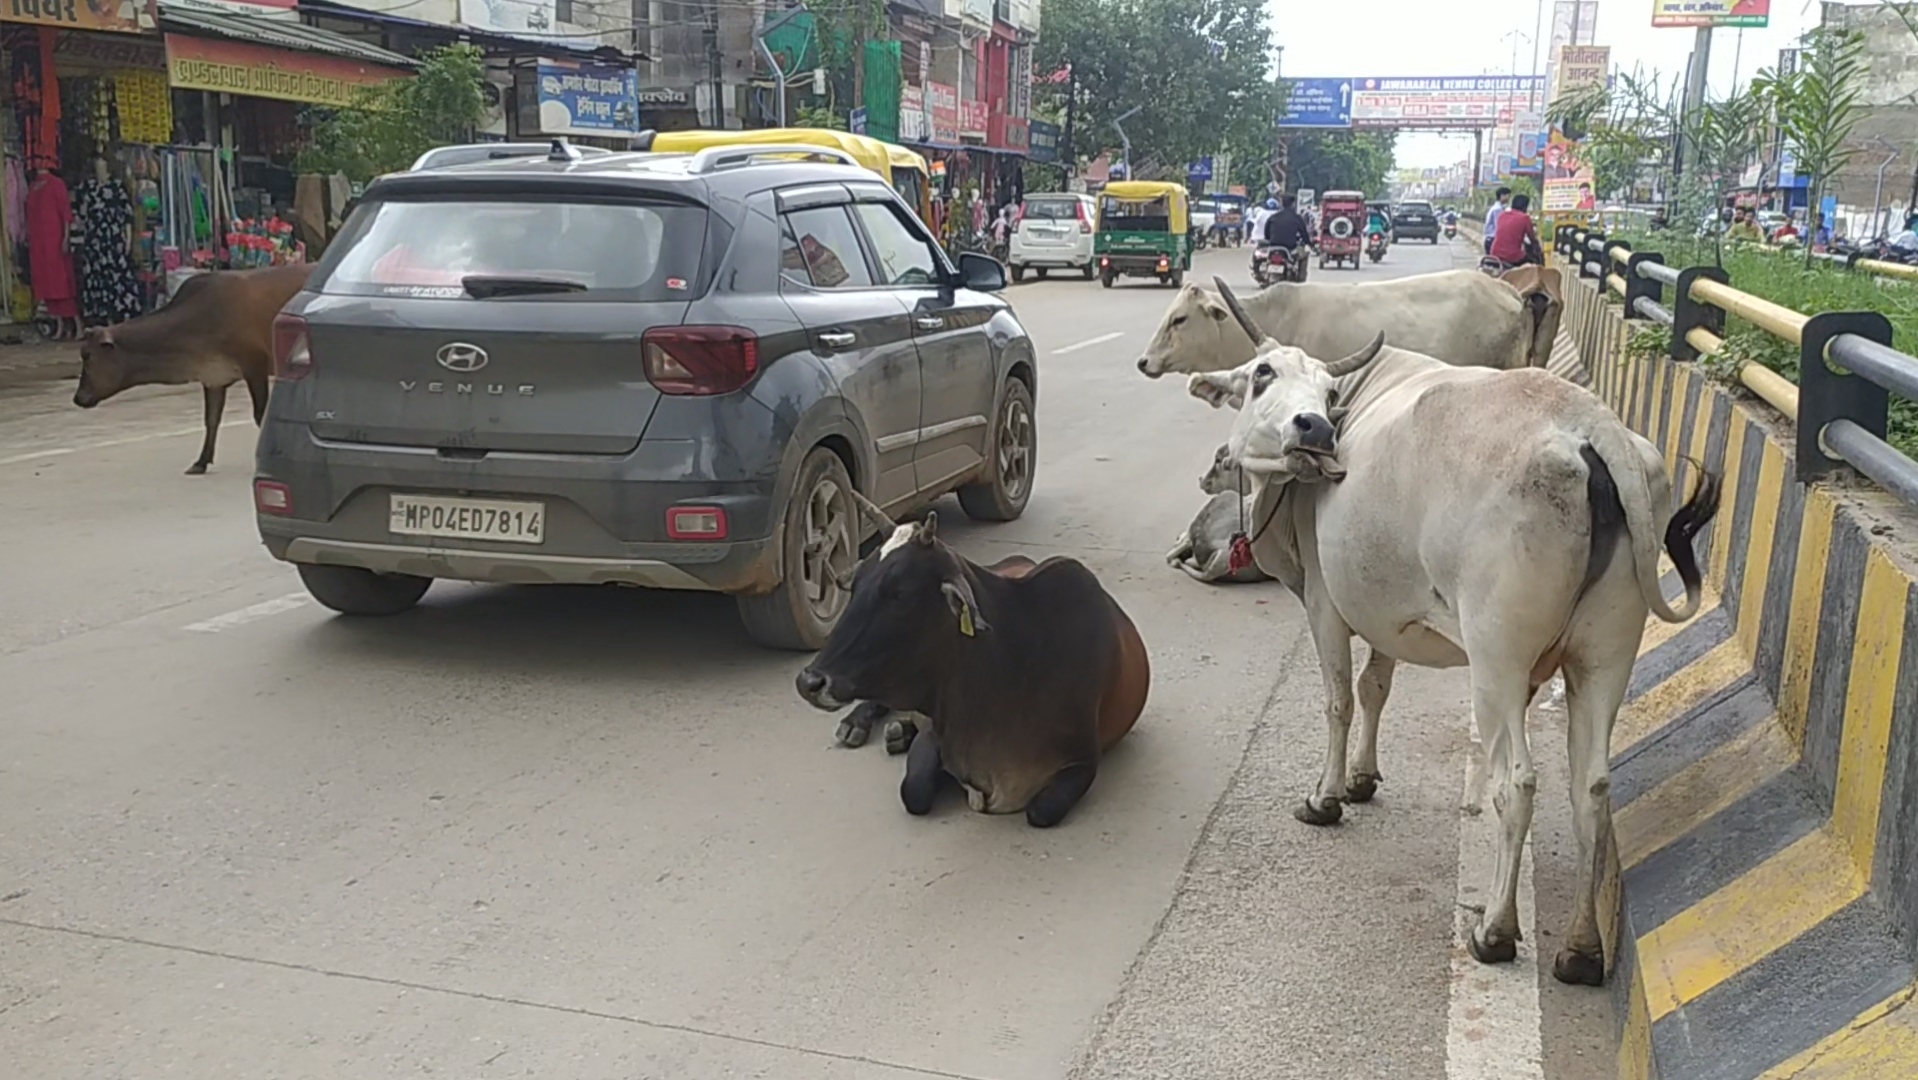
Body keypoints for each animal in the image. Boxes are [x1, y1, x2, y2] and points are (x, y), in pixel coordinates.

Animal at [72, 262, 314, 473]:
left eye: (88, 356)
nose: (78, 397)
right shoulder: (213, 376)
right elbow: (211, 419)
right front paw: (200, 462)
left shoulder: (255, 362)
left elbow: (260, 415)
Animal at [797, 498, 1150, 828]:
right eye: (855, 586)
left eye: (900, 594)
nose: (809, 681)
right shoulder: (936, 735)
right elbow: (914, 792)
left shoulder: (1083, 762)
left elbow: (1041, 811)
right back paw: (858, 724)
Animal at [1189, 281, 1718, 989]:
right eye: (1263, 375)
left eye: (1324, 392)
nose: (1315, 431)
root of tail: (1588, 423)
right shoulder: (1386, 609)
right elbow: (1376, 685)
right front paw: (1362, 778)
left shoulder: (1327, 602)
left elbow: (1339, 699)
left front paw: (1326, 796)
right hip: (1604, 657)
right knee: (1592, 788)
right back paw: (1581, 949)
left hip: (1496, 660)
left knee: (1517, 783)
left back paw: (1495, 930)